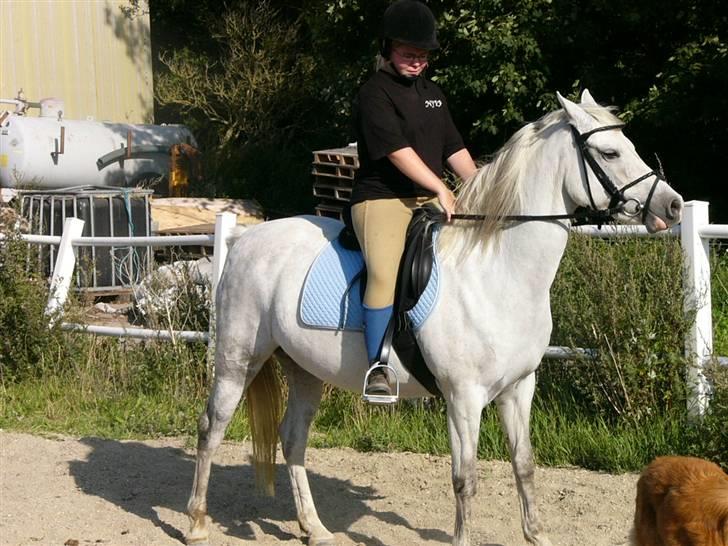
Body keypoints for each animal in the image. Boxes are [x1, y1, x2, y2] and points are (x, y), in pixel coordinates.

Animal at [185, 90, 684, 546]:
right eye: (610, 153)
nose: (674, 205)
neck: (498, 271)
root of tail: (246, 241)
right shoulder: (463, 398)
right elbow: (466, 480)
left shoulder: (519, 388)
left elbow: (524, 465)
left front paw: (537, 536)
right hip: (238, 360)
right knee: (211, 428)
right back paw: (196, 524)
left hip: (305, 369)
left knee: (292, 439)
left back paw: (316, 529)